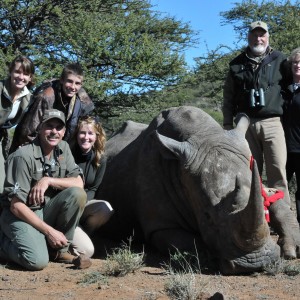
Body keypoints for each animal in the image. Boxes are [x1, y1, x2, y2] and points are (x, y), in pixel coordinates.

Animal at [96, 105, 300, 274]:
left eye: (264, 206)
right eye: (207, 217)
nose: (255, 263)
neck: (203, 135)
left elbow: (277, 200)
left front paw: (294, 246)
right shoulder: (160, 225)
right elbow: (191, 242)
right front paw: (214, 256)